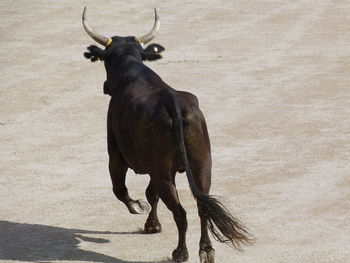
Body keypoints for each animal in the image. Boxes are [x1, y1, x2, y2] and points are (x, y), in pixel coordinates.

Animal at [82, 8, 252, 263]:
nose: (105, 87)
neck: (133, 69)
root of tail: (173, 103)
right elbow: (151, 194)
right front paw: (152, 224)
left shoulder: (116, 156)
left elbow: (122, 190)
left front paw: (138, 208)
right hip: (201, 165)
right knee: (202, 206)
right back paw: (206, 250)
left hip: (161, 170)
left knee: (180, 212)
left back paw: (180, 252)